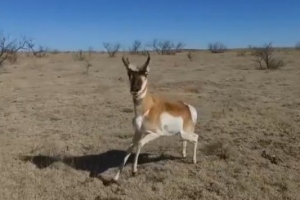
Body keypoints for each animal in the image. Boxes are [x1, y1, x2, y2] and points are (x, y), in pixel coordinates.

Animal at [111, 51, 198, 181]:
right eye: (129, 73)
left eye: (146, 73)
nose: (135, 89)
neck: (147, 108)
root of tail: (187, 107)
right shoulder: (138, 133)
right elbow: (130, 147)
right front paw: (115, 177)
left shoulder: (155, 134)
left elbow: (139, 144)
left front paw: (134, 171)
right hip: (182, 134)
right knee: (187, 140)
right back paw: (184, 155)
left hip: (185, 133)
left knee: (196, 137)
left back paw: (194, 160)